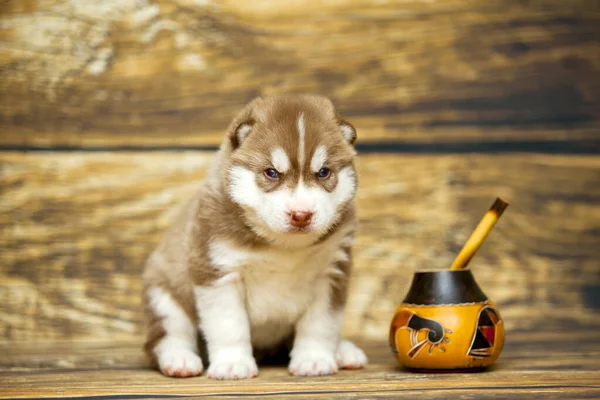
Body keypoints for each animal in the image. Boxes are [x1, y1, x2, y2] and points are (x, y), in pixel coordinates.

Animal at [143, 94, 368, 382]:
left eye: (324, 172)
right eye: (271, 172)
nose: (301, 215)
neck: (283, 247)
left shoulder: (331, 273)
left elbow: (320, 324)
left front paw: (314, 359)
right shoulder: (218, 273)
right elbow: (229, 326)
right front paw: (233, 364)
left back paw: (344, 351)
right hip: (164, 295)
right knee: (167, 336)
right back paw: (179, 359)